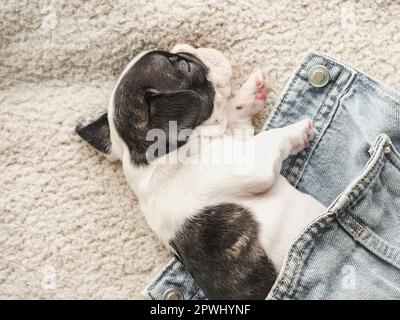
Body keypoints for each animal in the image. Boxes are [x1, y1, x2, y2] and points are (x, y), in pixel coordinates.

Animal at [76, 43, 326, 298]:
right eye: (184, 65)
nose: (189, 45)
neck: (155, 155)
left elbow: (235, 119)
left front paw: (249, 95)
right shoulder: (249, 164)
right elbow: (269, 140)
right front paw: (299, 130)